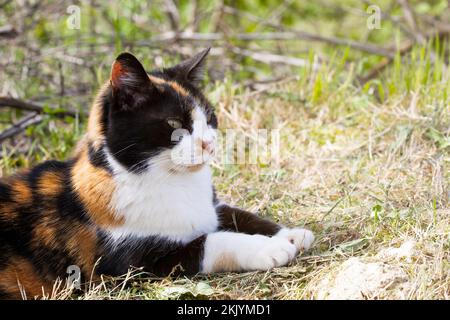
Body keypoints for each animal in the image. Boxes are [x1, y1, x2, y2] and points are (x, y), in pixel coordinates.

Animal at [0, 48, 312, 298]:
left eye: (210, 117)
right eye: (174, 123)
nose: (209, 143)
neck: (173, 182)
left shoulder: (211, 208)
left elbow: (239, 214)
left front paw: (291, 234)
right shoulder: (125, 266)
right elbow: (210, 241)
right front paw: (270, 249)